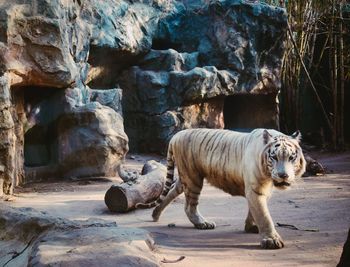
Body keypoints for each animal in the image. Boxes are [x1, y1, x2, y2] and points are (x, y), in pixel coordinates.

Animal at [135, 129, 304, 250]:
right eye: (274, 157)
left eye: (291, 158)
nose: (283, 175)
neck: (269, 176)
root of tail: (177, 135)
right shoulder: (255, 188)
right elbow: (263, 215)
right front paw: (271, 240)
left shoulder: (261, 190)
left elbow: (254, 210)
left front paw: (251, 226)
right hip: (193, 178)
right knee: (190, 206)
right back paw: (203, 223)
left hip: (185, 178)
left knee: (172, 191)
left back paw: (155, 214)